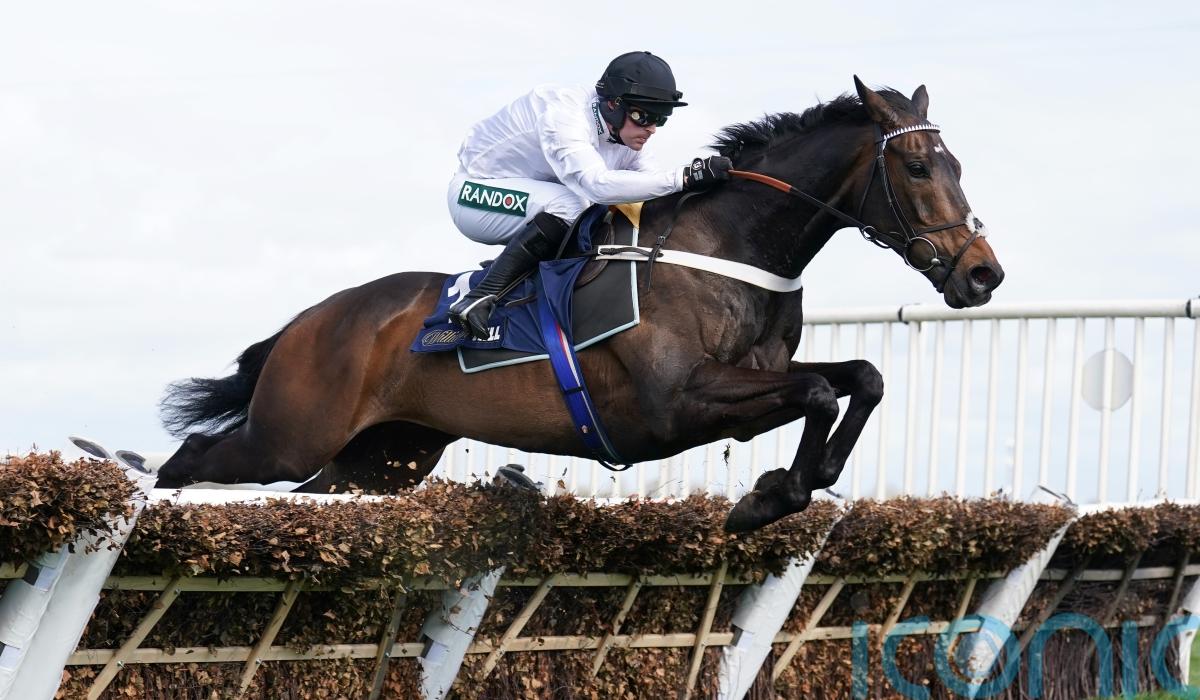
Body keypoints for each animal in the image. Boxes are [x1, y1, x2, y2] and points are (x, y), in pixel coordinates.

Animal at [156, 77, 1004, 533]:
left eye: (959, 165)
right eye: (920, 167)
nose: (982, 275)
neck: (726, 246)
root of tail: (308, 323)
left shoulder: (749, 386)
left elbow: (858, 378)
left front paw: (796, 483)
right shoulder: (679, 402)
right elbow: (822, 390)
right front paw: (767, 499)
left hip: (378, 460)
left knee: (306, 494)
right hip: (290, 435)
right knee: (192, 457)